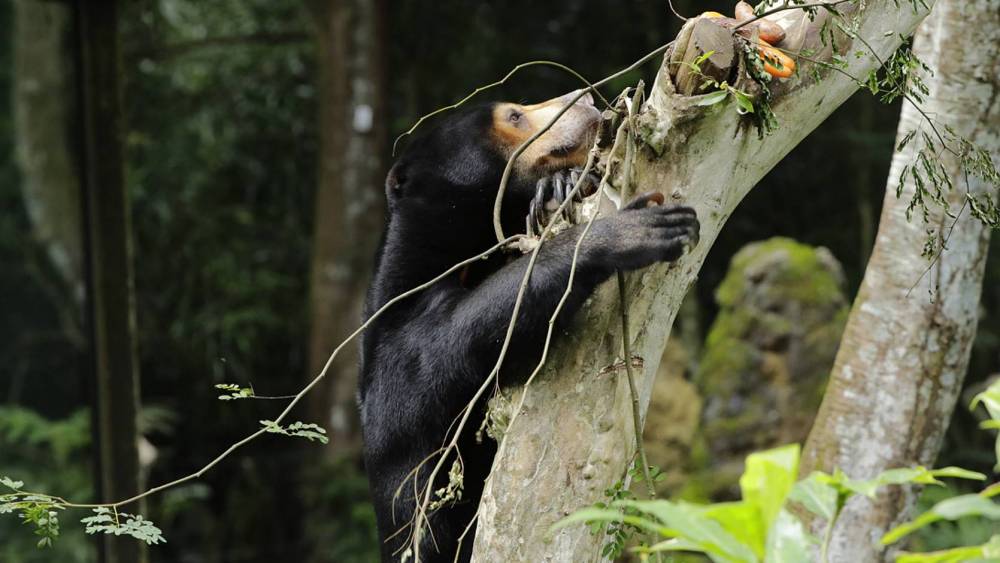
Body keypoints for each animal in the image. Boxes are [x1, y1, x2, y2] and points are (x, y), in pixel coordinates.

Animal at [359, 90, 700, 562]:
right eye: (515, 116)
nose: (585, 99)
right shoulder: (400, 351)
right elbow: (461, 335)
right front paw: (632, 231)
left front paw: (562, 185)